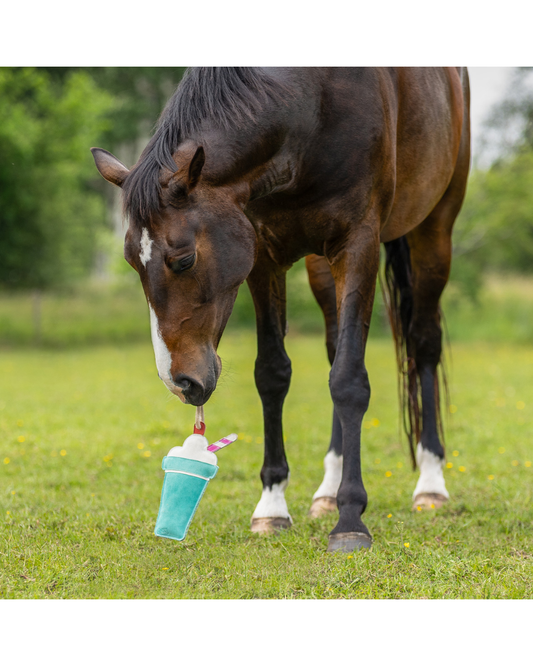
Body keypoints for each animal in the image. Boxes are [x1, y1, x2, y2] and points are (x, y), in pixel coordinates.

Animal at [91, 67, 470, 553]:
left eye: (184, 258)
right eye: (130, 262)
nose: (180, 383)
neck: (311, 108)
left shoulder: (359, 244)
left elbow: (349, 381)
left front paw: (351, 518)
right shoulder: (263, 256)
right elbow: (273, 374)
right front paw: (272, 505)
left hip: (434, 230)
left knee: (423, 345)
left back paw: (431, 482)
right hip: (320, 265)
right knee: (335, 348)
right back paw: (327, 491)